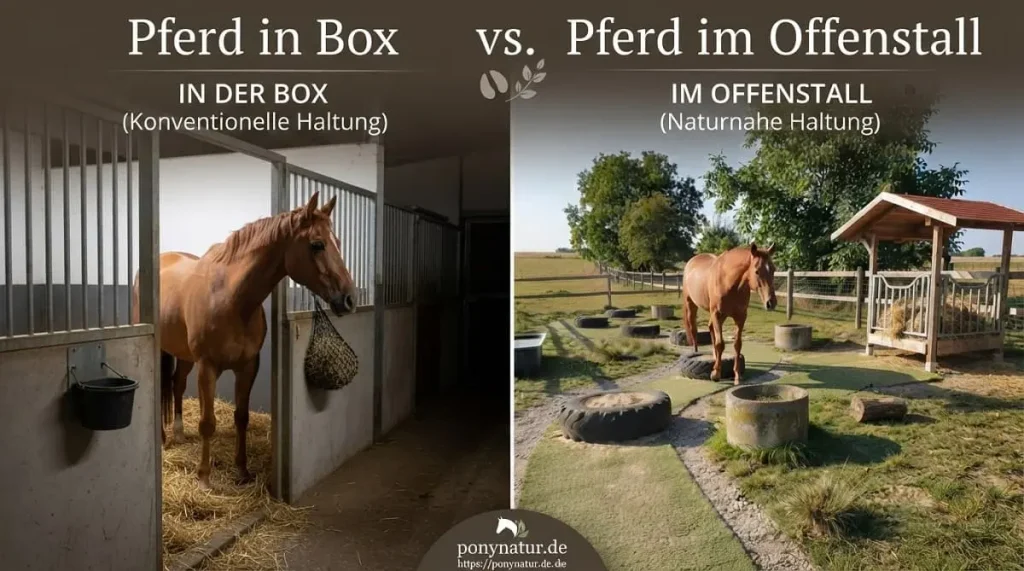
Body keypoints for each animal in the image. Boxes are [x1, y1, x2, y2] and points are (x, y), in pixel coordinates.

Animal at [131, 191, 357, 489]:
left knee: (178, 385)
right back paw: (163, 439)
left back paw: (179, 433)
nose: (350, 299)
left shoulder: (248, 366)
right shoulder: (208, 367)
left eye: (338, 243)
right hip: (162, 351)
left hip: (184, 354)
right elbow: (207, 422)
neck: (231, 298)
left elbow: (241, 417)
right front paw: (204, 477)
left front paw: (242, 470)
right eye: (317, 244)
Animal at [682, 242, 778, 385]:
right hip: (691, 305)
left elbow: (737, 344)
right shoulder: (717, 314)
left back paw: (715, 357)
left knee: (710, 328)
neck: (729, 282)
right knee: (693, 329)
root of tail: (691, 261)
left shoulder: (740, 317)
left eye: (773, 269)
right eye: (757, 271)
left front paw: (737, 376)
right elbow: (720, 344)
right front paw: (716, 374)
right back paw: (695, 352)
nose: (771, 303)